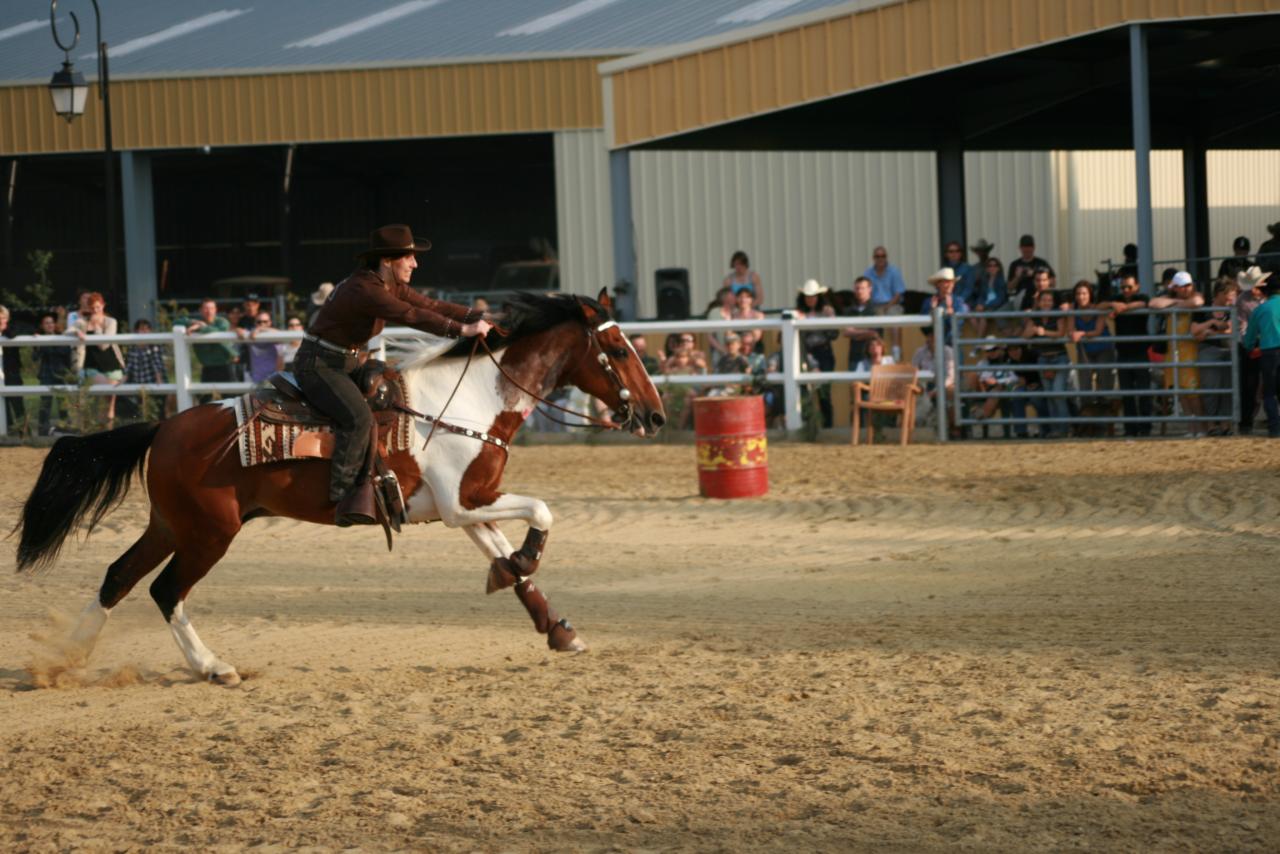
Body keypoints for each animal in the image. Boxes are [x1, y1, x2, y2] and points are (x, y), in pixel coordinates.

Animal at [12, 290, 660, 686]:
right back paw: (214, 667)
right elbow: (542, 516)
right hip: (209, 533)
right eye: (618, 348)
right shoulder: (463, 504)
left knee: (118, 577)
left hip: (171, 524)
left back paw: (66, 659)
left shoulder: (463, 508)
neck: (467, 402)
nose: (654, 415)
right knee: (165, 590)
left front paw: (556, 627)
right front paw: (525, 573)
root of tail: (164, 427)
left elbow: (512, 562)